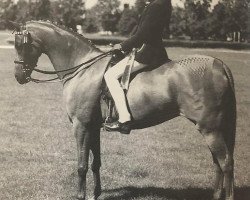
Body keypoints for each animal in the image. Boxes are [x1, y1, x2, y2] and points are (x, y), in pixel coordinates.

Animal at [11, 20, 236, 200]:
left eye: (20, 44)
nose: (18, 76)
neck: (82, 68)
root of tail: (219, 64)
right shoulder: (93, 127)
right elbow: (95, 163)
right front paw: (96, 193)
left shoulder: (80, 126)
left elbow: (82, 165)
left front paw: (81, 195)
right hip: (213, 128)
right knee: (218, 164)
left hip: (210, 129)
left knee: (225, 163)